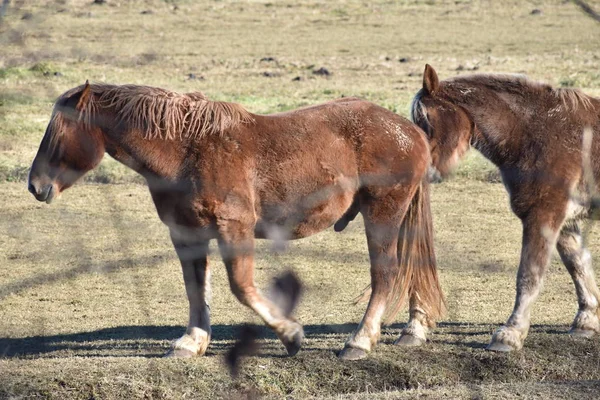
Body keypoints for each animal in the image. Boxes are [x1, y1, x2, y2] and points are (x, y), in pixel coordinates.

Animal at [28, 81, 442, 360]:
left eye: (60, 129)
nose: (35, 185)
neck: (186, 149)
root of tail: (410, 132)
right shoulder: (186, 233)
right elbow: (195, 288)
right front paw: (192, 341)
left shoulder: (234, 228)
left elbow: (242, 288)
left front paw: (291, 335)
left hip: (383, 213)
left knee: (385, 273)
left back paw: (359, 341)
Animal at [410, 64, 600, 352]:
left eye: (426, 119)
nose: (421, 170)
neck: (536, 132)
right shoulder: (566, 222)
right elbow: (578, 266)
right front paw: (586, 321)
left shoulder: (543, 216)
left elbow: (528, 275)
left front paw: (510, 333)